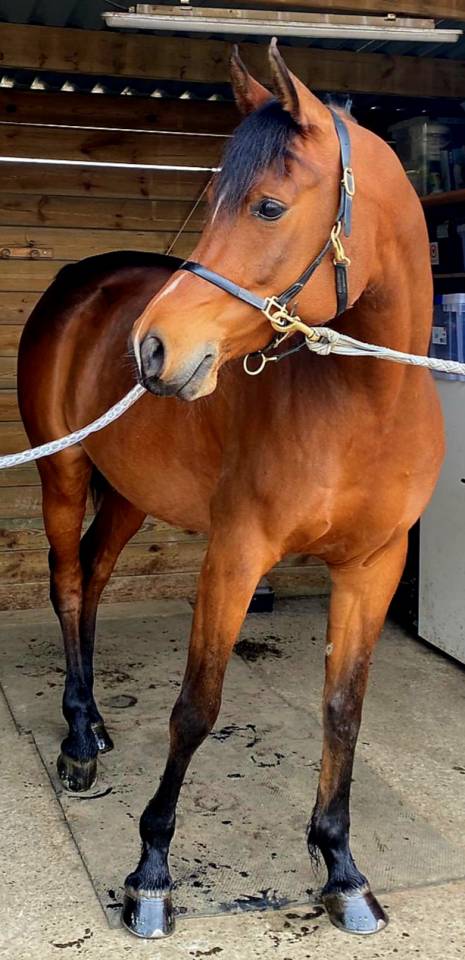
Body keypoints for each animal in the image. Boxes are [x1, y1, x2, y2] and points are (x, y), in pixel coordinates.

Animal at [17, 41, 444, 941]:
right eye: (215, 199)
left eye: (269, 205)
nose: (152, 349)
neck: (366, 406)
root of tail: (79, 284)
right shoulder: (236, 555)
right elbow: (196, 707)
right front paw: (150, 875)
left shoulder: (374, 567)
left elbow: (343, 708)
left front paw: (341, 869)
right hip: (63, 473)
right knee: (67, 584)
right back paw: (76, 745)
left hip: (129, 492)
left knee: (95, 579)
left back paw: (93, 721)